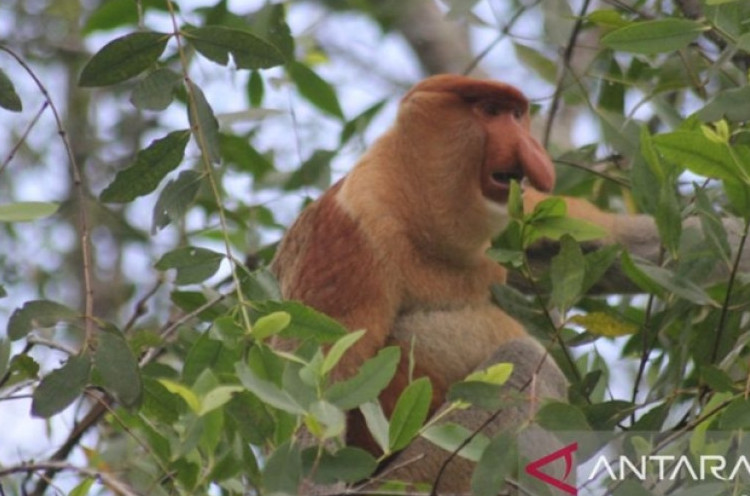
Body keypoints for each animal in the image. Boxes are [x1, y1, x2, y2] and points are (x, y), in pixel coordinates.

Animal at [272, 75, 624, 470]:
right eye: (490, 111)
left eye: (517, 115)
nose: (534, 151)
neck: (413, 201)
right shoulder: (349, 235)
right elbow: (323, 376)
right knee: (527, 360)